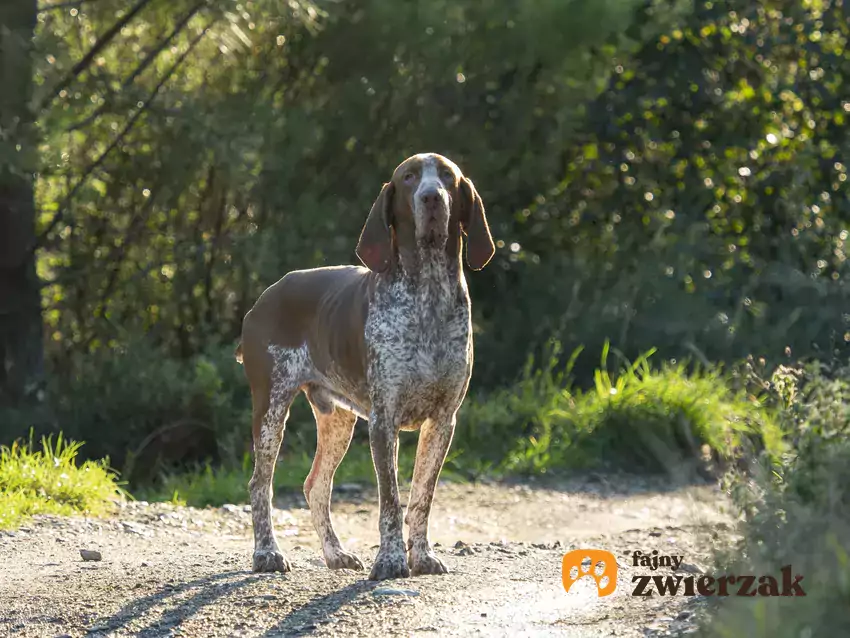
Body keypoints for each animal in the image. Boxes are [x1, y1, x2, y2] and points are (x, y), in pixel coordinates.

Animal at [235, 152, 494, 584]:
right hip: (271, 411)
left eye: (447, 176)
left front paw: (422, 557)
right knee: (260, 484)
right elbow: (390, 500)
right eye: (408, 178)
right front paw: (390, 561)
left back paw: (335, 553)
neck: (428, 295)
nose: (432, 198)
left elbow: (421, 498)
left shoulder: (443, 421)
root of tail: (264, 298)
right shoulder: (384, 419)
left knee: (315, 486)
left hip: (338, 420)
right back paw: (267, 553)